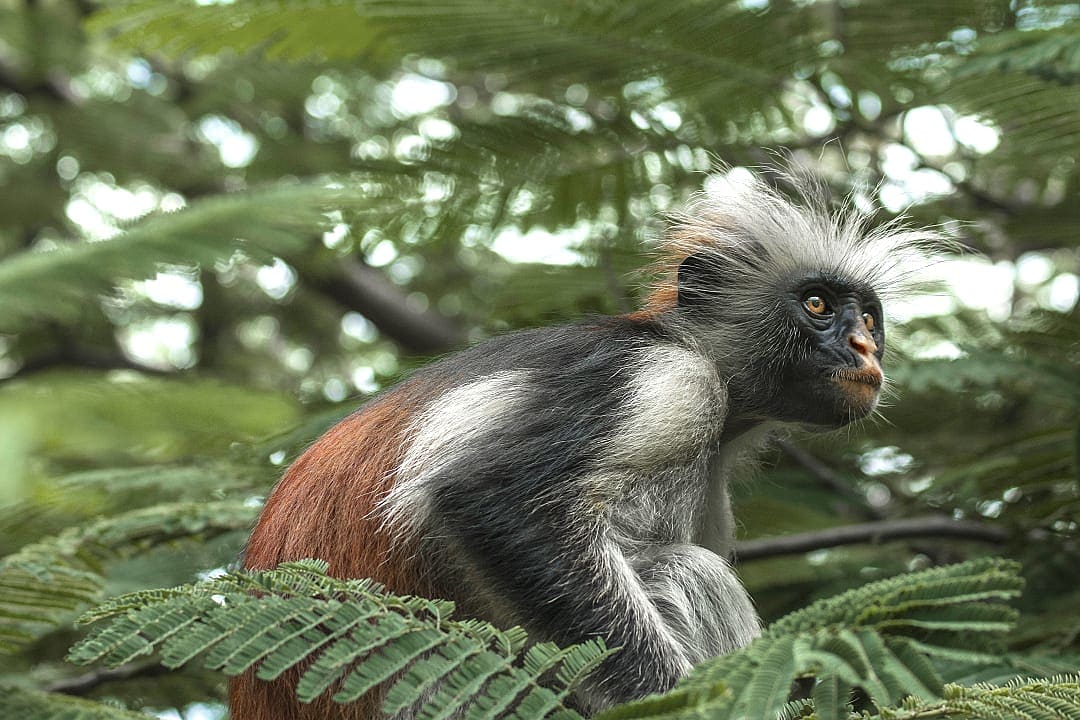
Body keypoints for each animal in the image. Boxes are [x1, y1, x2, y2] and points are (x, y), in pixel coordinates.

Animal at [229, 169, 937, 720]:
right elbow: (489, 498)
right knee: (687, 570)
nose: (864, 348)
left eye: (868, 316)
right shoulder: (664, 381)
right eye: (817, 304)